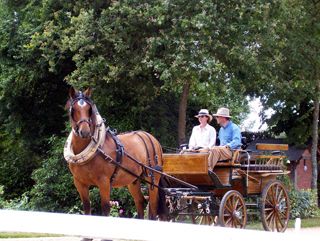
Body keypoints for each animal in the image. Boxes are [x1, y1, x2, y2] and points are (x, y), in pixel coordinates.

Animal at [64, 86, 166, 222]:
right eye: (73, 109)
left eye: (89, 109)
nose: (84, 132)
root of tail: (153, 139)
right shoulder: (80, 183)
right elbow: (87, 209)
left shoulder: (104, 182)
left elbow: (105, 209)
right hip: (133, 181)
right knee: (140, 202)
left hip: (153, 180)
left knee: (153, 208)